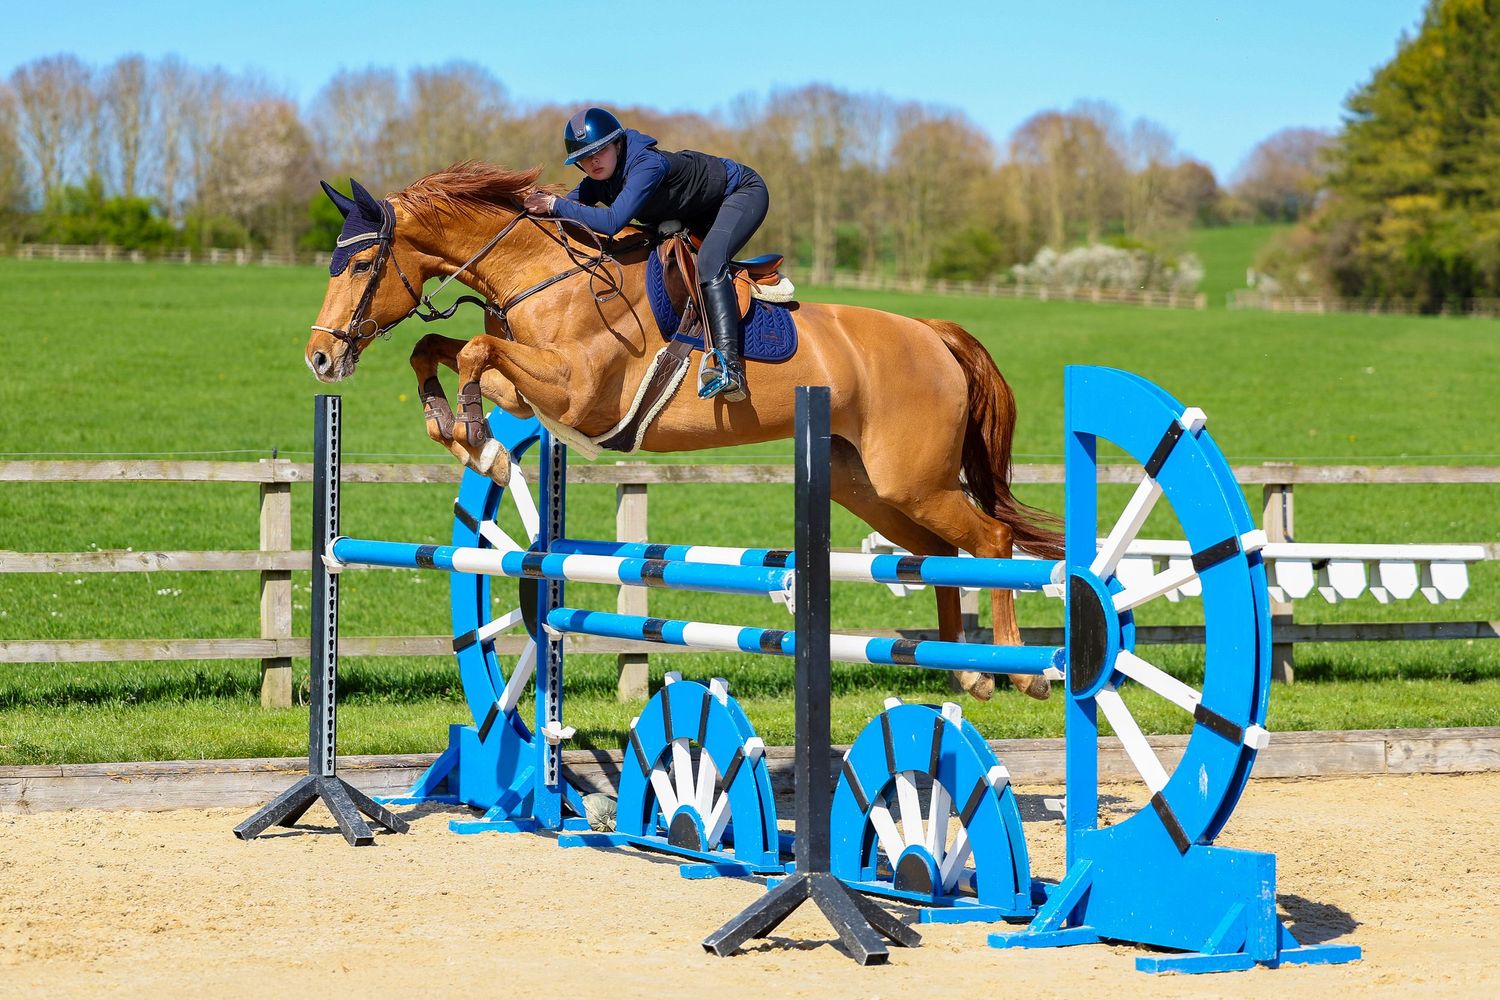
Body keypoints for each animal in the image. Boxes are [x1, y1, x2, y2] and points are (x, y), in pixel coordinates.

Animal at [304, 162, 1064, 701]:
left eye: (363, 265)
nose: (319, 358)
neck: (539, 274)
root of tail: (933, 335)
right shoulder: (534, 394)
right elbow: (435, 347)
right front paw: (462, 432)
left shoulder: (577, 394)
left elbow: (470, 352)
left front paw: (477, 439)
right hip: (872, 487)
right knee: (938, 553)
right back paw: (969, 673)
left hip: (916, 480)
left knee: (990, 540)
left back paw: (1018, 670)